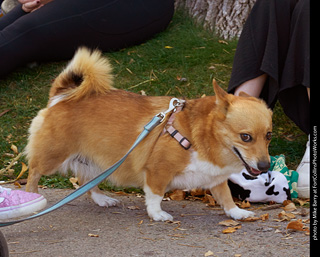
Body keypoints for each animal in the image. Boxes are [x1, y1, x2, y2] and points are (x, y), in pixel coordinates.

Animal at [26, 47, 272, 220]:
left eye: (269, 135)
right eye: (246, 137)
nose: (265, 167)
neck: (202, 137)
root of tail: (61, 96)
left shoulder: (216, 179)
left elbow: (226, 197)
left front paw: (237, 213)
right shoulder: (157, 171)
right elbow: (155, 195)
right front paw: (157, 214)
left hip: (97, 163)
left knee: (88, 183)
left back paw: (102, 199)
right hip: (53, 157)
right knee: (34, 172)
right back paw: (31, 200)